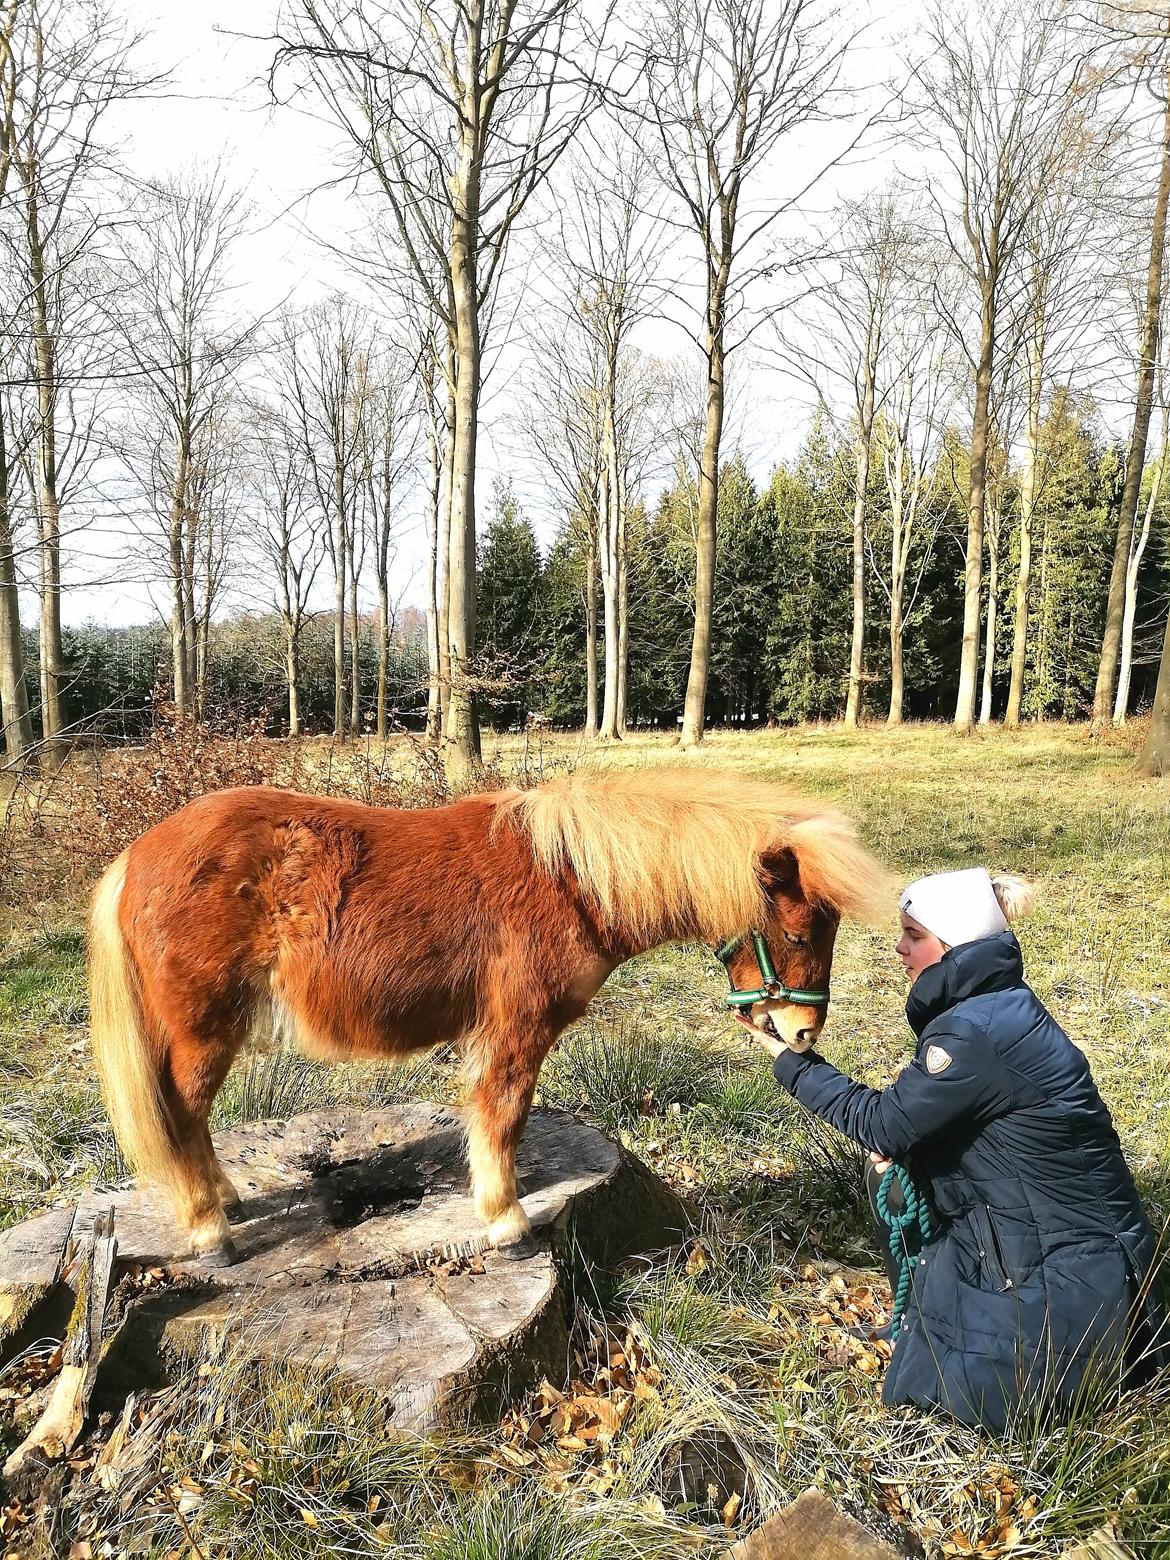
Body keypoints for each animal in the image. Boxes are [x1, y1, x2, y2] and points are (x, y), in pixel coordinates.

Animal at [89, 767, 886, 1266]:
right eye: (798, 934)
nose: (803, 1035)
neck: (569, 881)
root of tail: (135, 857)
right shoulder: (514, 1034)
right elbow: (501, 1116)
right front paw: (506, 1221)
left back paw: (225, 1198)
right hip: (203, 1032)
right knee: (181, 1113)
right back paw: (210, 1229)